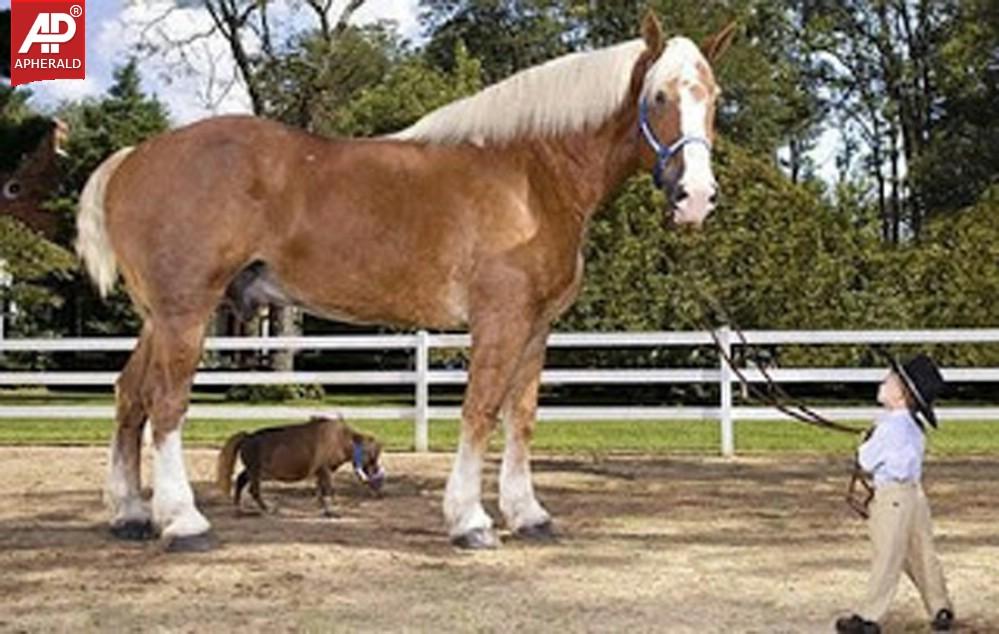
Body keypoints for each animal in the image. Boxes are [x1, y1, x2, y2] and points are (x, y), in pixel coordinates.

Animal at [76, 12, 736, 552]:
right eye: (658, 96)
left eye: (714, 98)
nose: (695, 198)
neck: (530, 175)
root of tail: (134, 157)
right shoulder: (499, 320)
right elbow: (480, 410)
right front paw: (470, 521)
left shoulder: (537, 327)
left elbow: (520, 418)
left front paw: (528, 515)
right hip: (186, 313)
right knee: (166, 403)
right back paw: (183, 523)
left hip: (158, 318)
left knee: (129, 396)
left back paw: (130, 515)